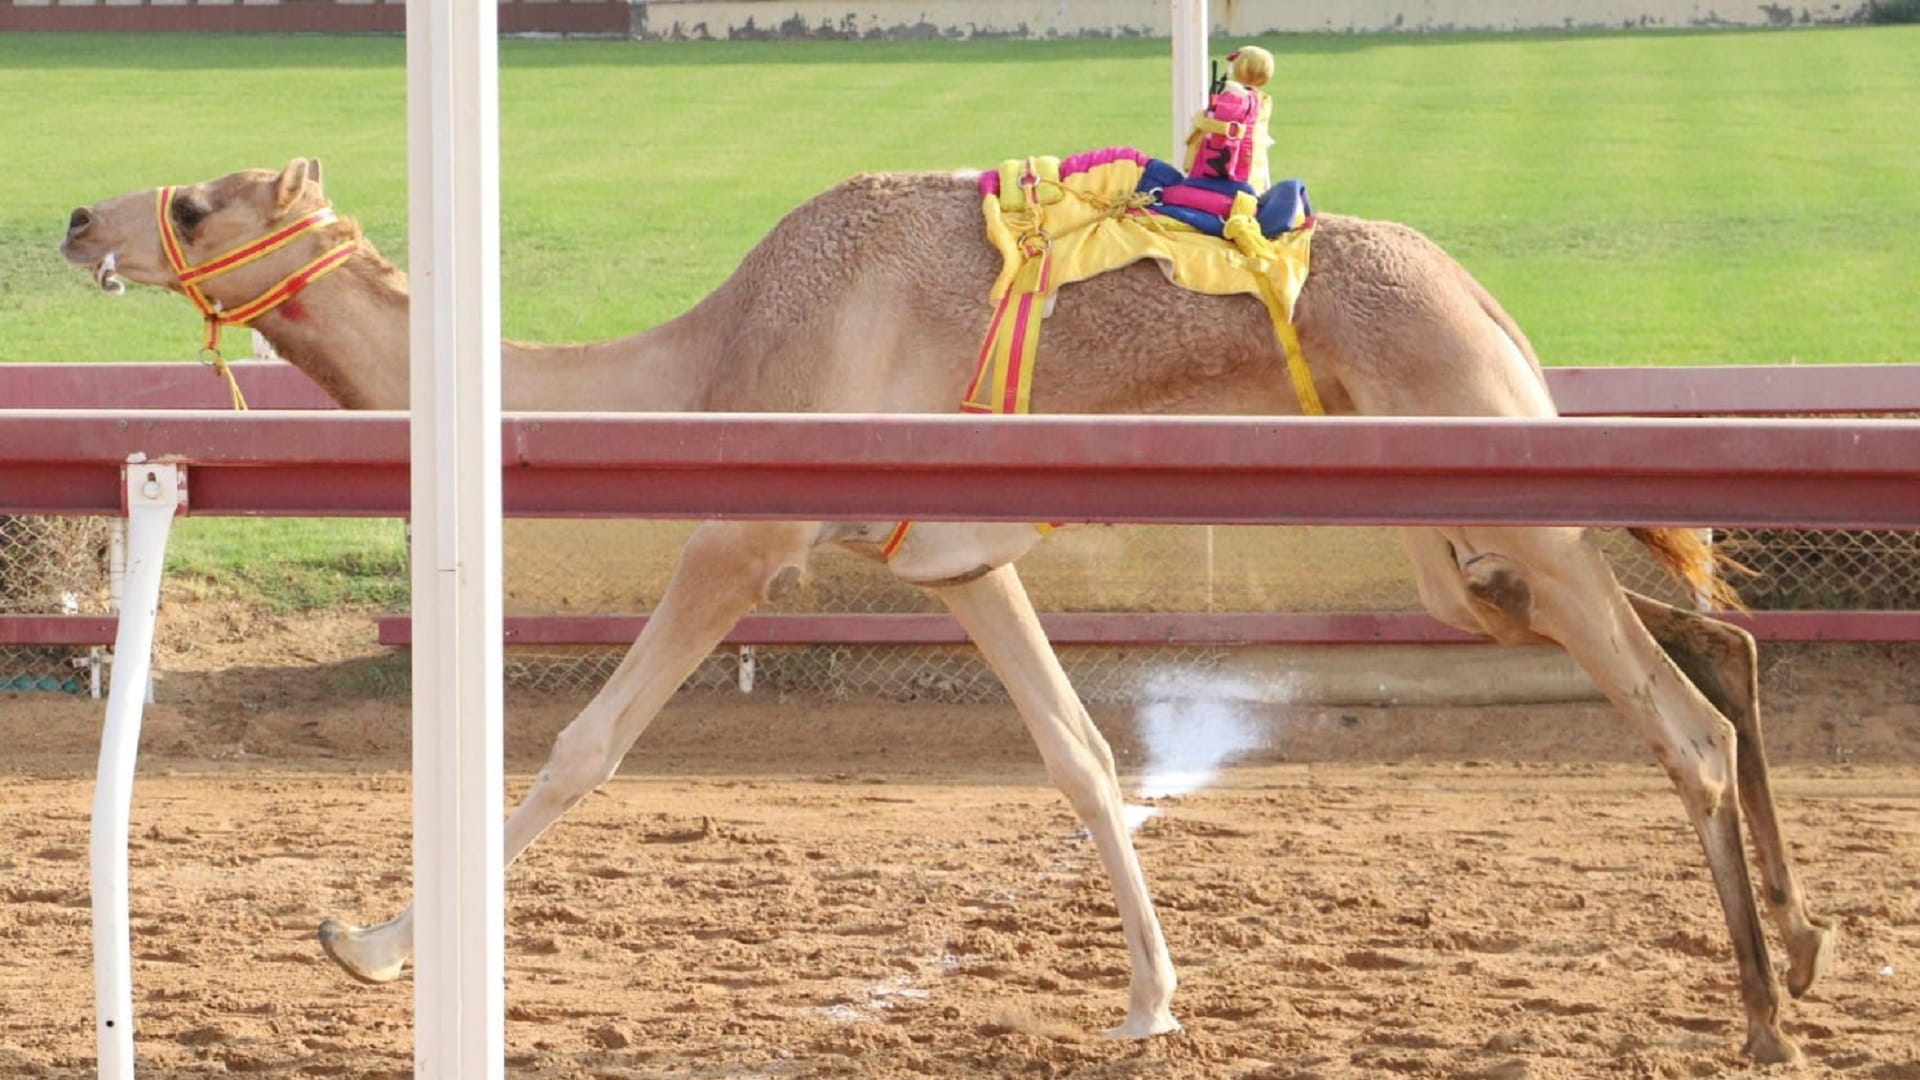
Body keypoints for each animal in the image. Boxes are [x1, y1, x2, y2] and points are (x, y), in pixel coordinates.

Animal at [60, 158, 1834, 1063]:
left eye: (202, 204)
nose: (77, 217)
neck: (705, 365)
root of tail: (1486, 300)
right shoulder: (959, 561)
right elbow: (1077, 758)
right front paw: (1150, 1001)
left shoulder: (749, 529)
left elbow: (582, 745)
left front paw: (366, 946)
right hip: (1452, 529)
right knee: (1714, 638)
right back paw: (1806, 943)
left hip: (1485, 472)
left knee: (1674, 717)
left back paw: (1759, 1014)